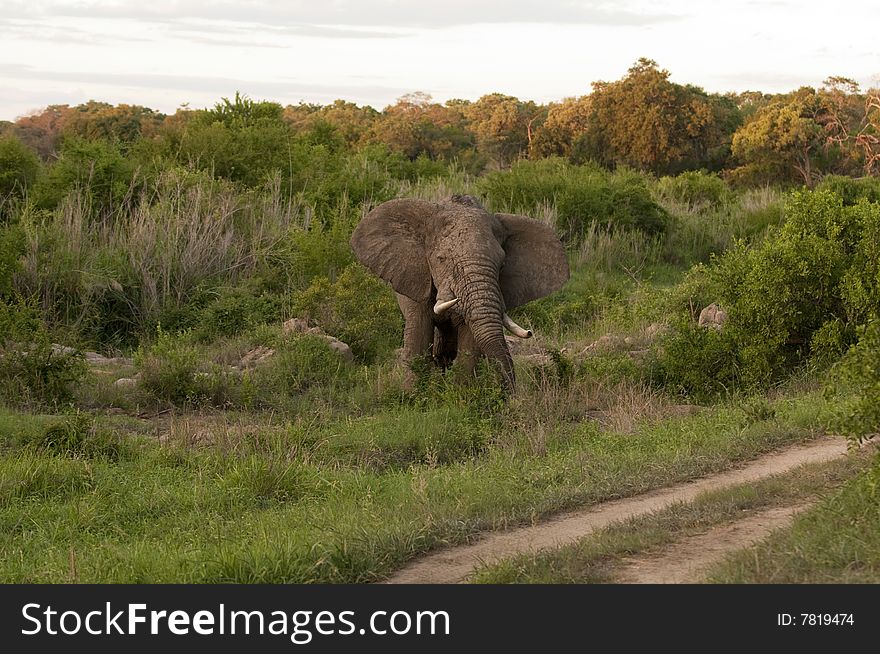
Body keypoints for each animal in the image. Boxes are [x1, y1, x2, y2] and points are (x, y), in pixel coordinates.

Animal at [350, 193, 572, 390]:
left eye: (502, 265)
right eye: (441, 259)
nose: (508, 393)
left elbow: (470, 340)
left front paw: (462, 396)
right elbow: (419, 331)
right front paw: (412, 395)